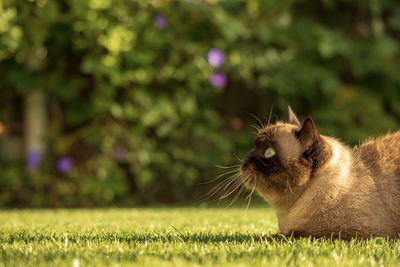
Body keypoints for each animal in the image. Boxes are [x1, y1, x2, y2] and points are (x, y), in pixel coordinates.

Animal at [241, 107, 400, 241]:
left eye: (269, 152)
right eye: (254, 148)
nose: (246, 159)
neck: (288, 213)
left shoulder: (352, 234)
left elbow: (287, 235)